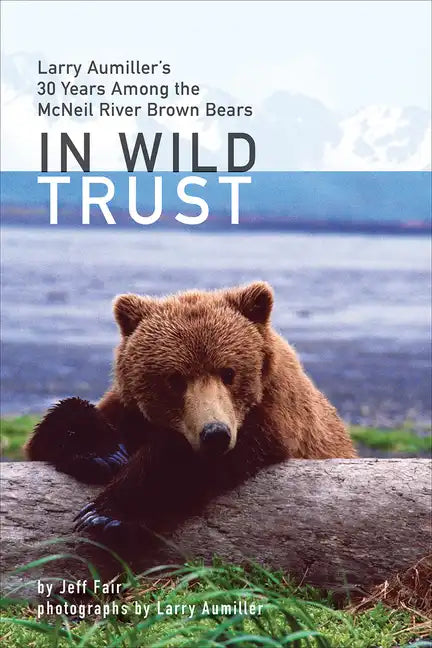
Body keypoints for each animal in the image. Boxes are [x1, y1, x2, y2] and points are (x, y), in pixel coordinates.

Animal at [26, 281, 356, 542]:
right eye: (174, 379)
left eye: (229, 372)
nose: (215, 433)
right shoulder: (131, 409)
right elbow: (60, 426)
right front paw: (102, 453)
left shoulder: (273, 416)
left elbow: (180, 460)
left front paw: (107, 514)